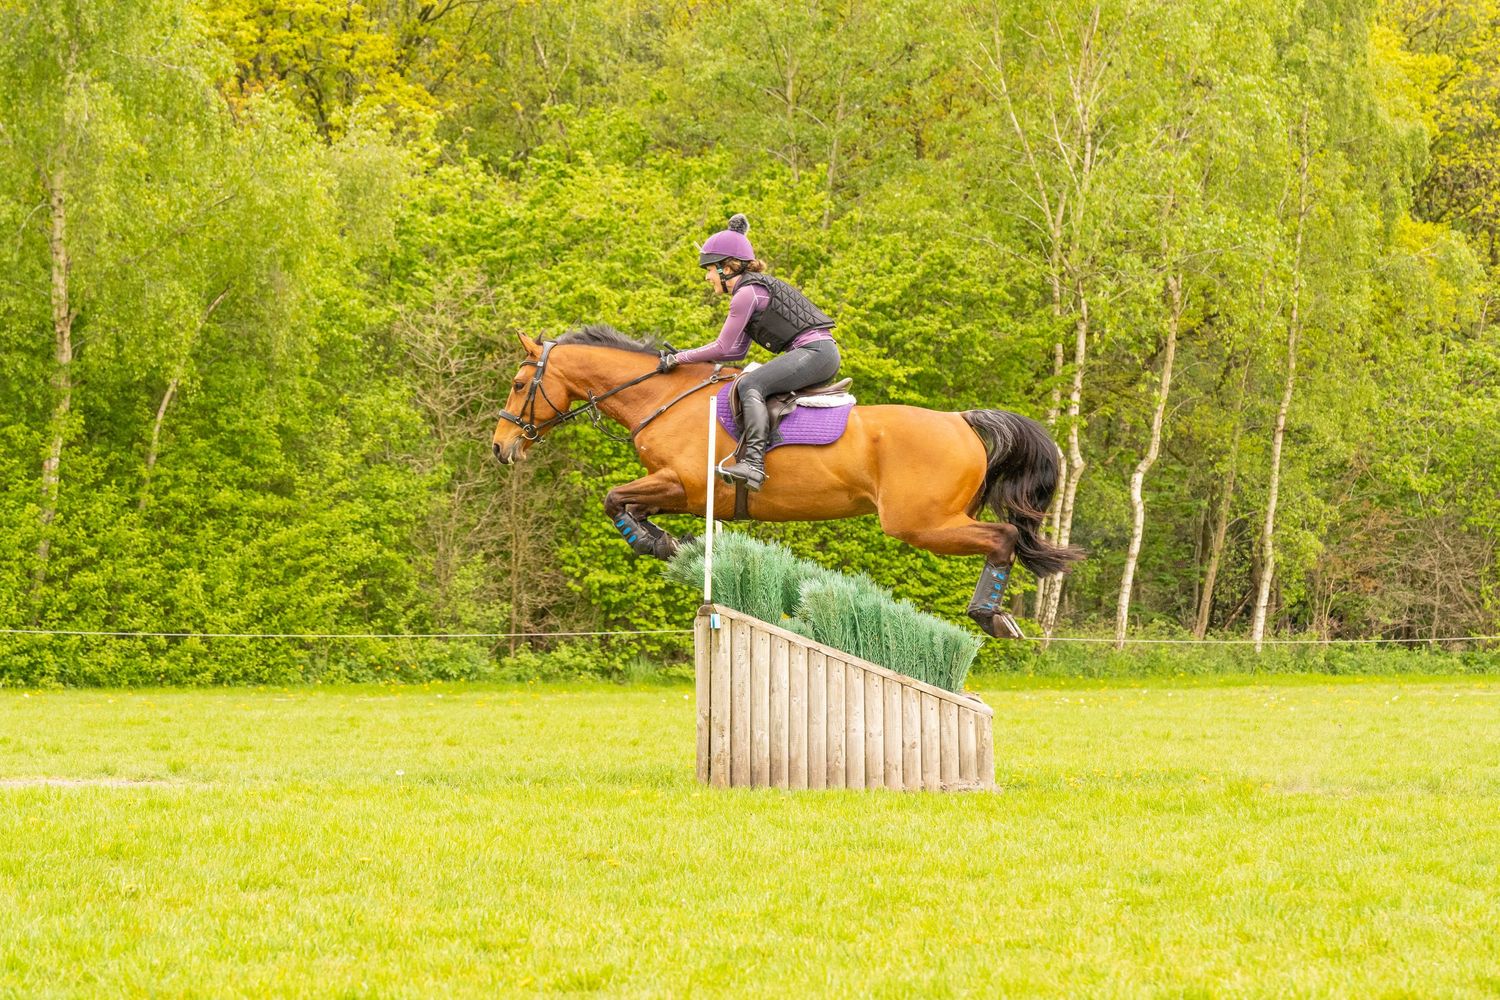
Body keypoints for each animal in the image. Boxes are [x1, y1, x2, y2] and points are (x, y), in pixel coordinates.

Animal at [492, 325, 1083, 638]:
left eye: (520, 384)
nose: (501, 447)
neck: (663, 399)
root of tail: (963, 420)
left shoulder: (684, 485)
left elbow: (615, 498)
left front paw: (660, 544)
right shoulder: (676, 491)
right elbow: (627, 505)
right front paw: (667, 544)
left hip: (921, 522)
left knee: (1004, 538)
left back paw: (990, 615)